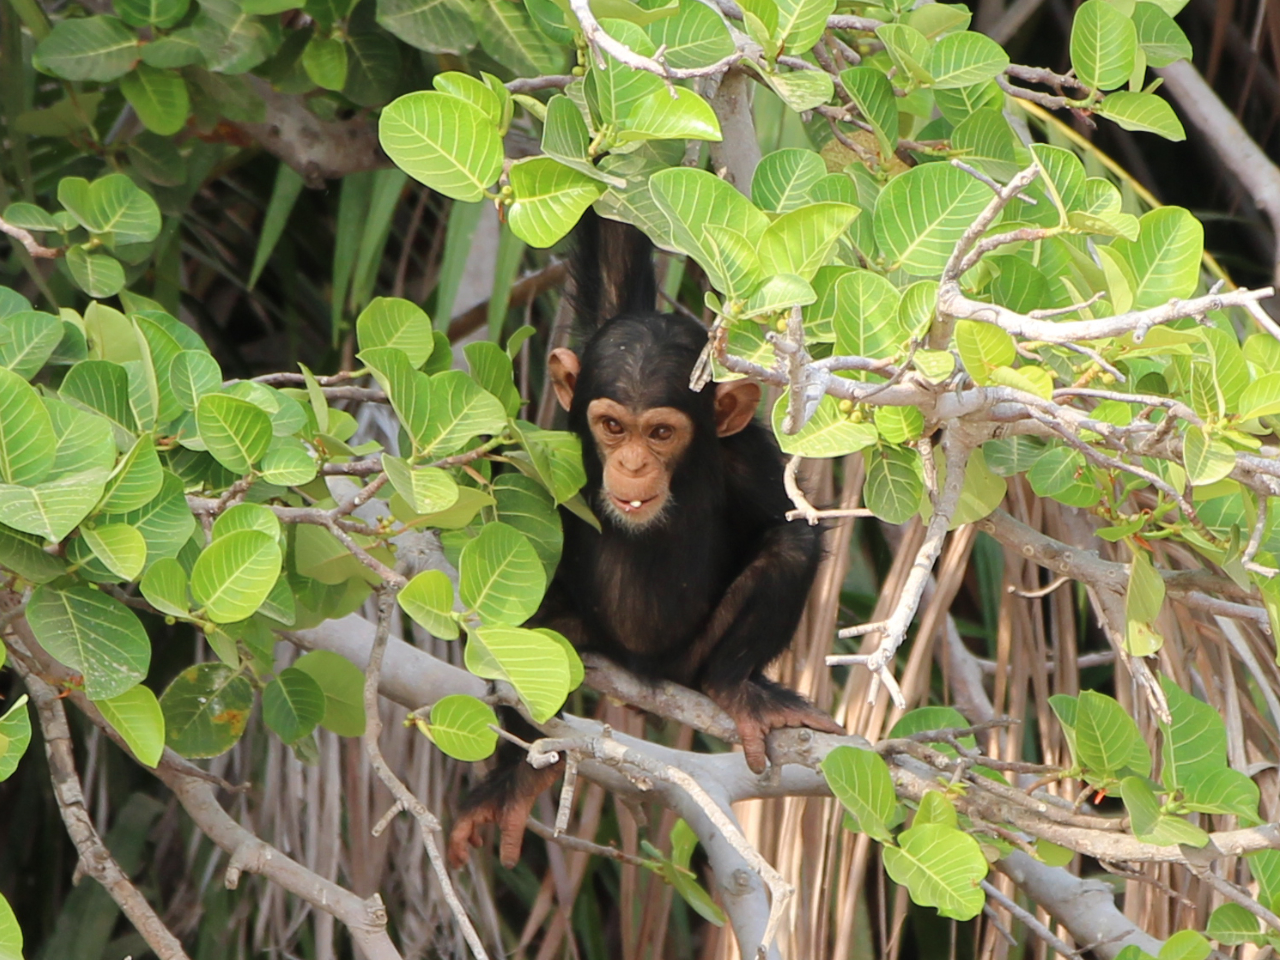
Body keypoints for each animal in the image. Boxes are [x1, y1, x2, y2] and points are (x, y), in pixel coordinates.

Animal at [445, 213, 844, 870]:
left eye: (659, 433)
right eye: (612, 426)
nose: (632, 464)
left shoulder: (744, 456)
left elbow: (789, 528)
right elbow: (613, 250)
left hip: (686, 660)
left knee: (783, 557)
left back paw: (735, 688)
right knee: (526, 639)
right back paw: (518, 774)